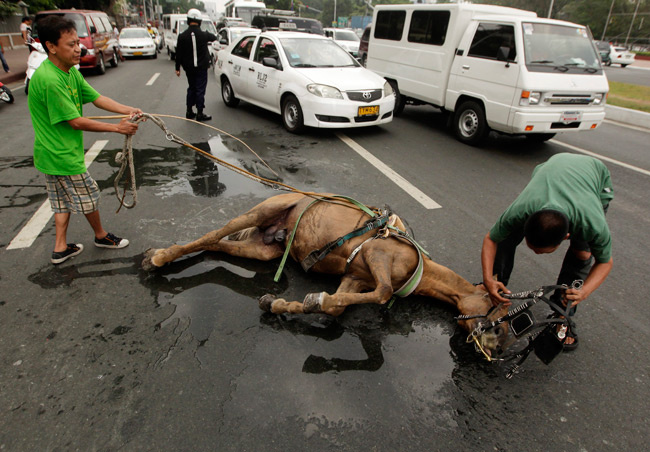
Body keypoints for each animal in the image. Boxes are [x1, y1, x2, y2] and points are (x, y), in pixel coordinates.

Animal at [143, 192, 512, 358]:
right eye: (501, 312)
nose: (498, 348)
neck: (416, 265)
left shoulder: (355, 279)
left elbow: (336, 306)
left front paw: (282, 304)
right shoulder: (377, 254)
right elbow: (382, 292)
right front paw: (310, 299)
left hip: (265, 250)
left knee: (218, 245)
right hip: (262, 211)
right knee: (212, 234)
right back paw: (157, 258)